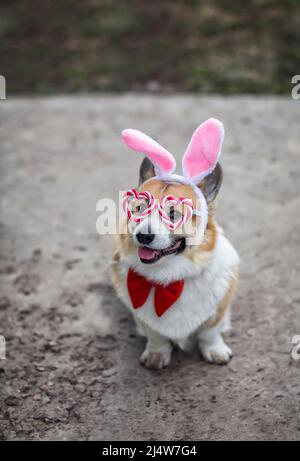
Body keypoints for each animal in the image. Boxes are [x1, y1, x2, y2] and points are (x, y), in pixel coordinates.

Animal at [111, 119, 240, 370]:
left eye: (173, 214)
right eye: (140, 209)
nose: (143, 236)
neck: (168, 280)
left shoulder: (218, 308)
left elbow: (209, 331)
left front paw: (216, 350)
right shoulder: (143, 316)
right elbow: (155, 334)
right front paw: (156, 354)